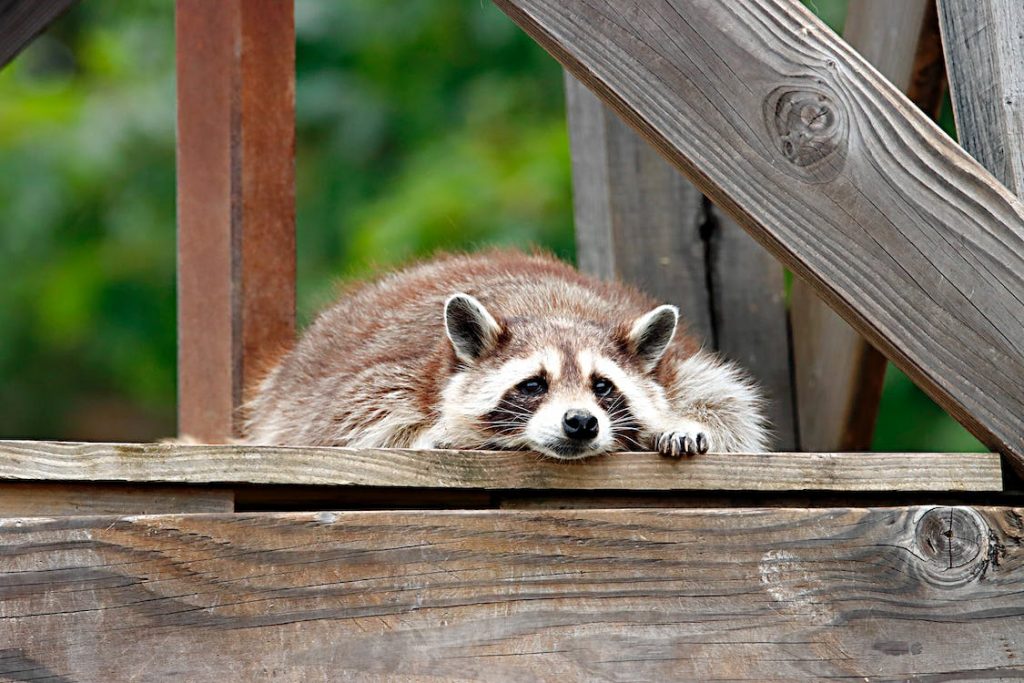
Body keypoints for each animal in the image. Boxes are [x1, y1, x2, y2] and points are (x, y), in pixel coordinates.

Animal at [243, 250, 769, 458]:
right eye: (533, 385)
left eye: (603, 387)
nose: (581, 423)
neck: (556, 313)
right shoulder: (386, 380)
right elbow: (355, 423)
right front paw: (441, 433)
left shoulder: (678, 369)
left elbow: (728, 405)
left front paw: (677, 424)